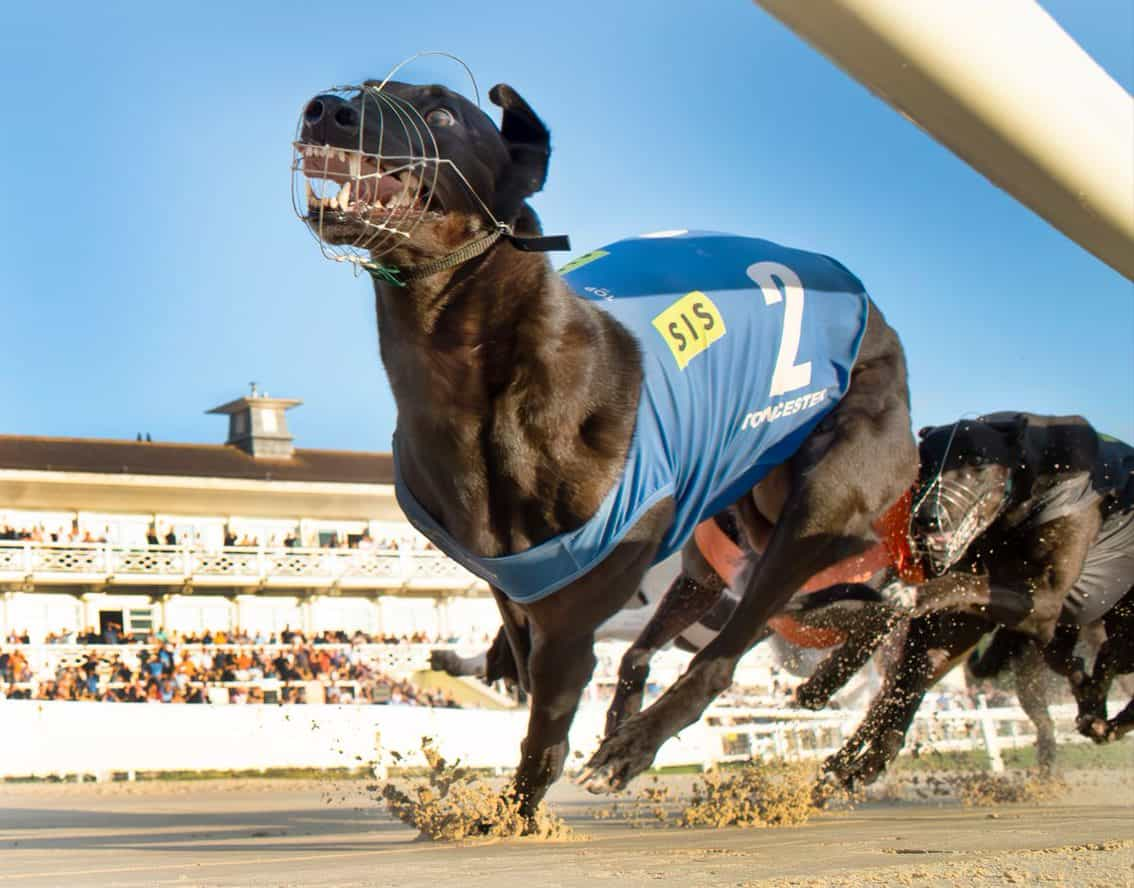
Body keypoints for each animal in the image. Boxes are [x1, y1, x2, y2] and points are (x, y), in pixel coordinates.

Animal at [294, 78, 920, 821]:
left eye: (443, 114)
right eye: (367, 89)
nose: (325, 110)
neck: (471, 388)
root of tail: (867, 303)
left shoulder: (571, 618)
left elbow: (545, 730)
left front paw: (514, 816)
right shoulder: (515, 592)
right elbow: (526, 676)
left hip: (816, 509)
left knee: (732, 649)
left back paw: (637, 748)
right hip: (732, 549)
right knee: (854, 614)